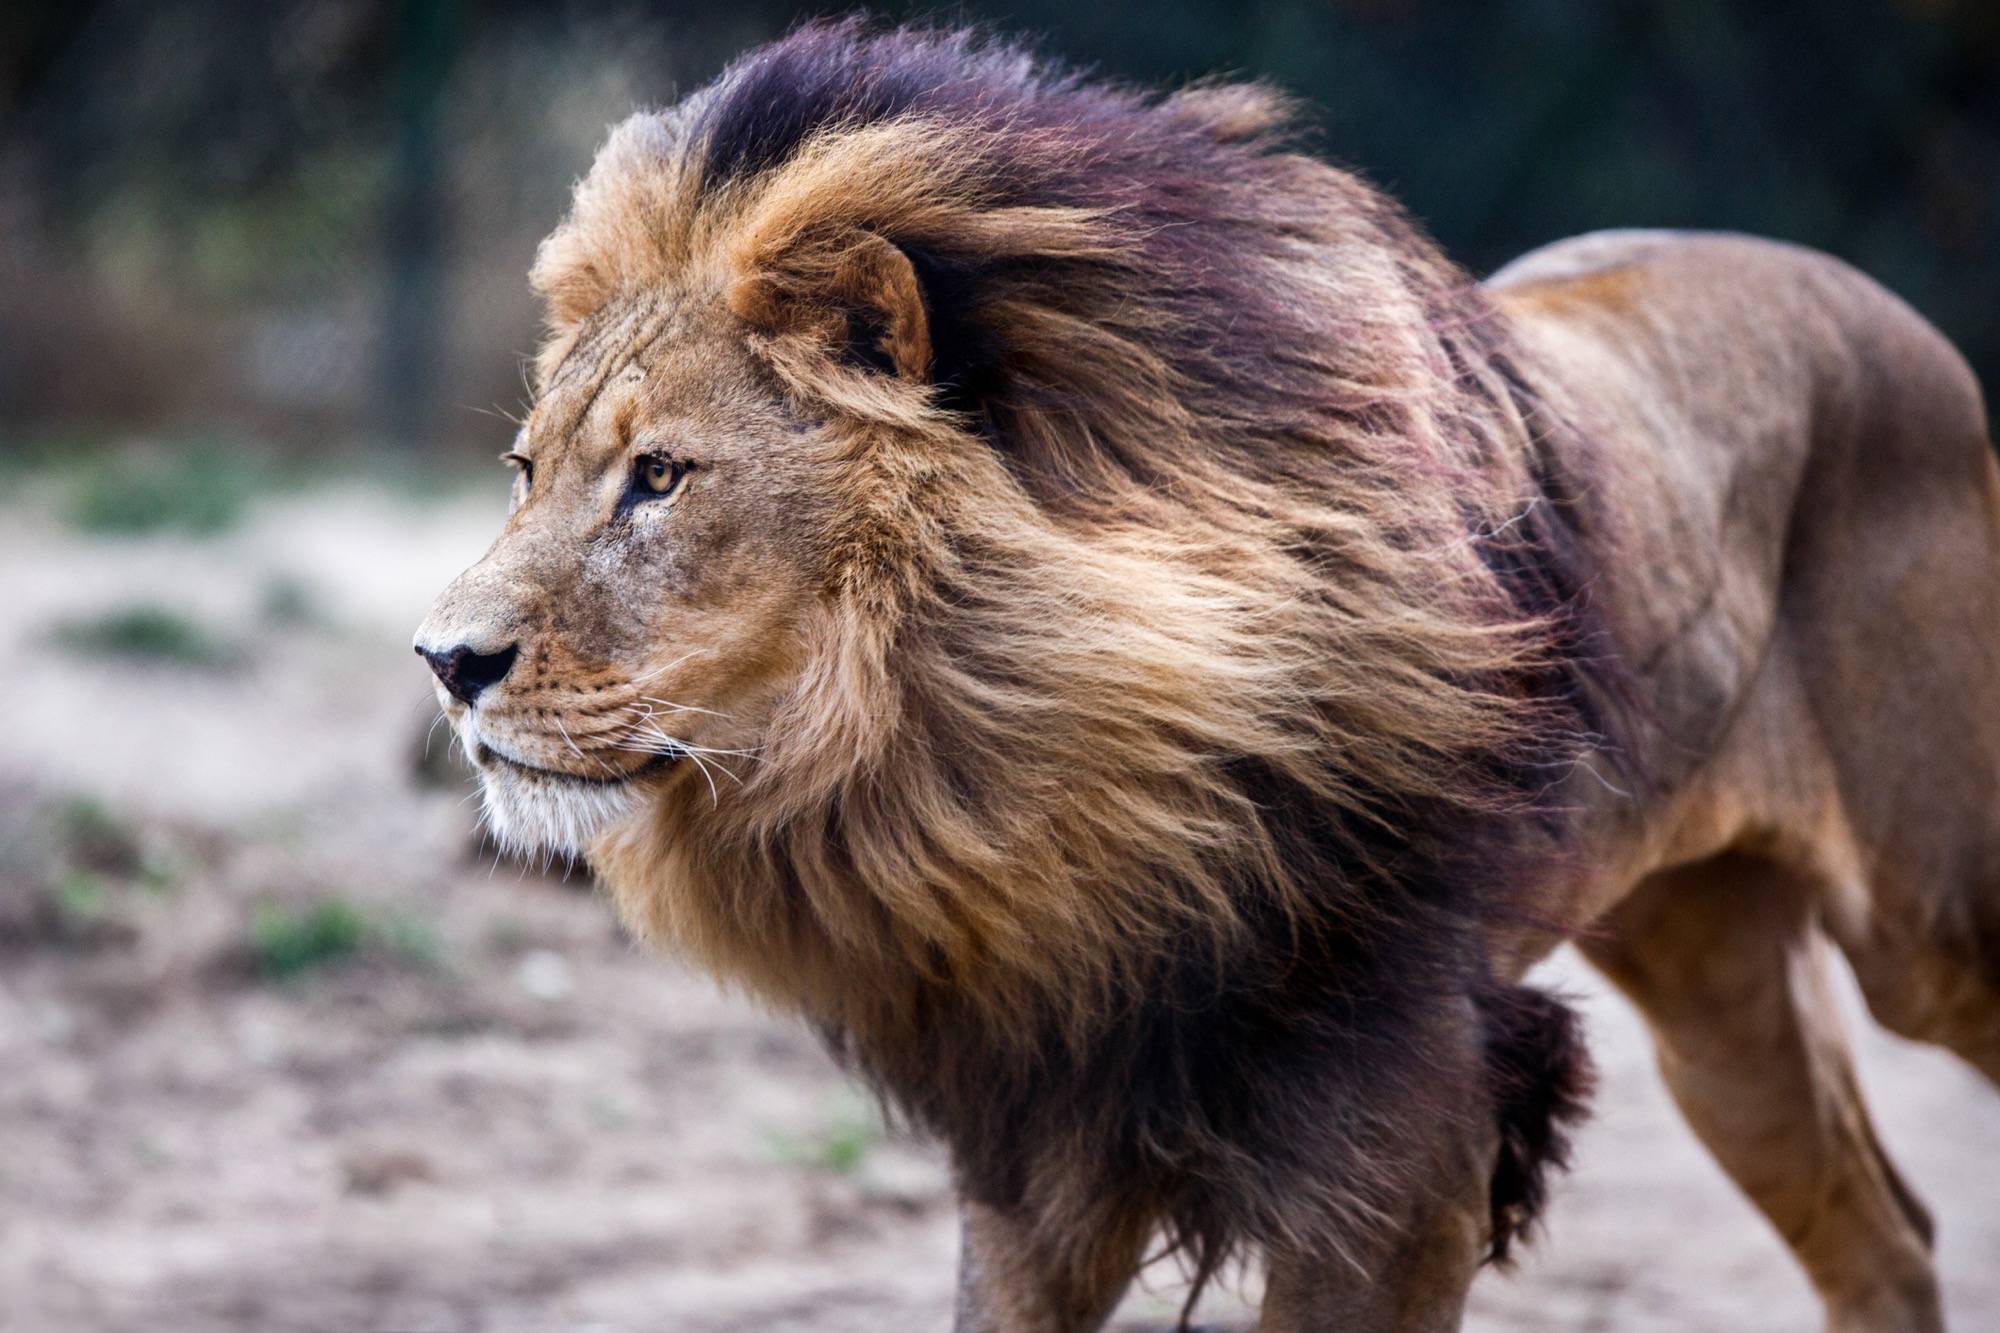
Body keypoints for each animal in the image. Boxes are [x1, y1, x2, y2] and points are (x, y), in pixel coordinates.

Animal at [414, 20, 1992, 1328]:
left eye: (659, 478)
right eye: (526, 470)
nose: (443, 659)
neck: (996, 773)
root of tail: (1892, 314)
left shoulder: (1403, 1130)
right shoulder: (1041, 1137)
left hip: (1929, 925)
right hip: (1708, 969)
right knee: (1885, 1237)